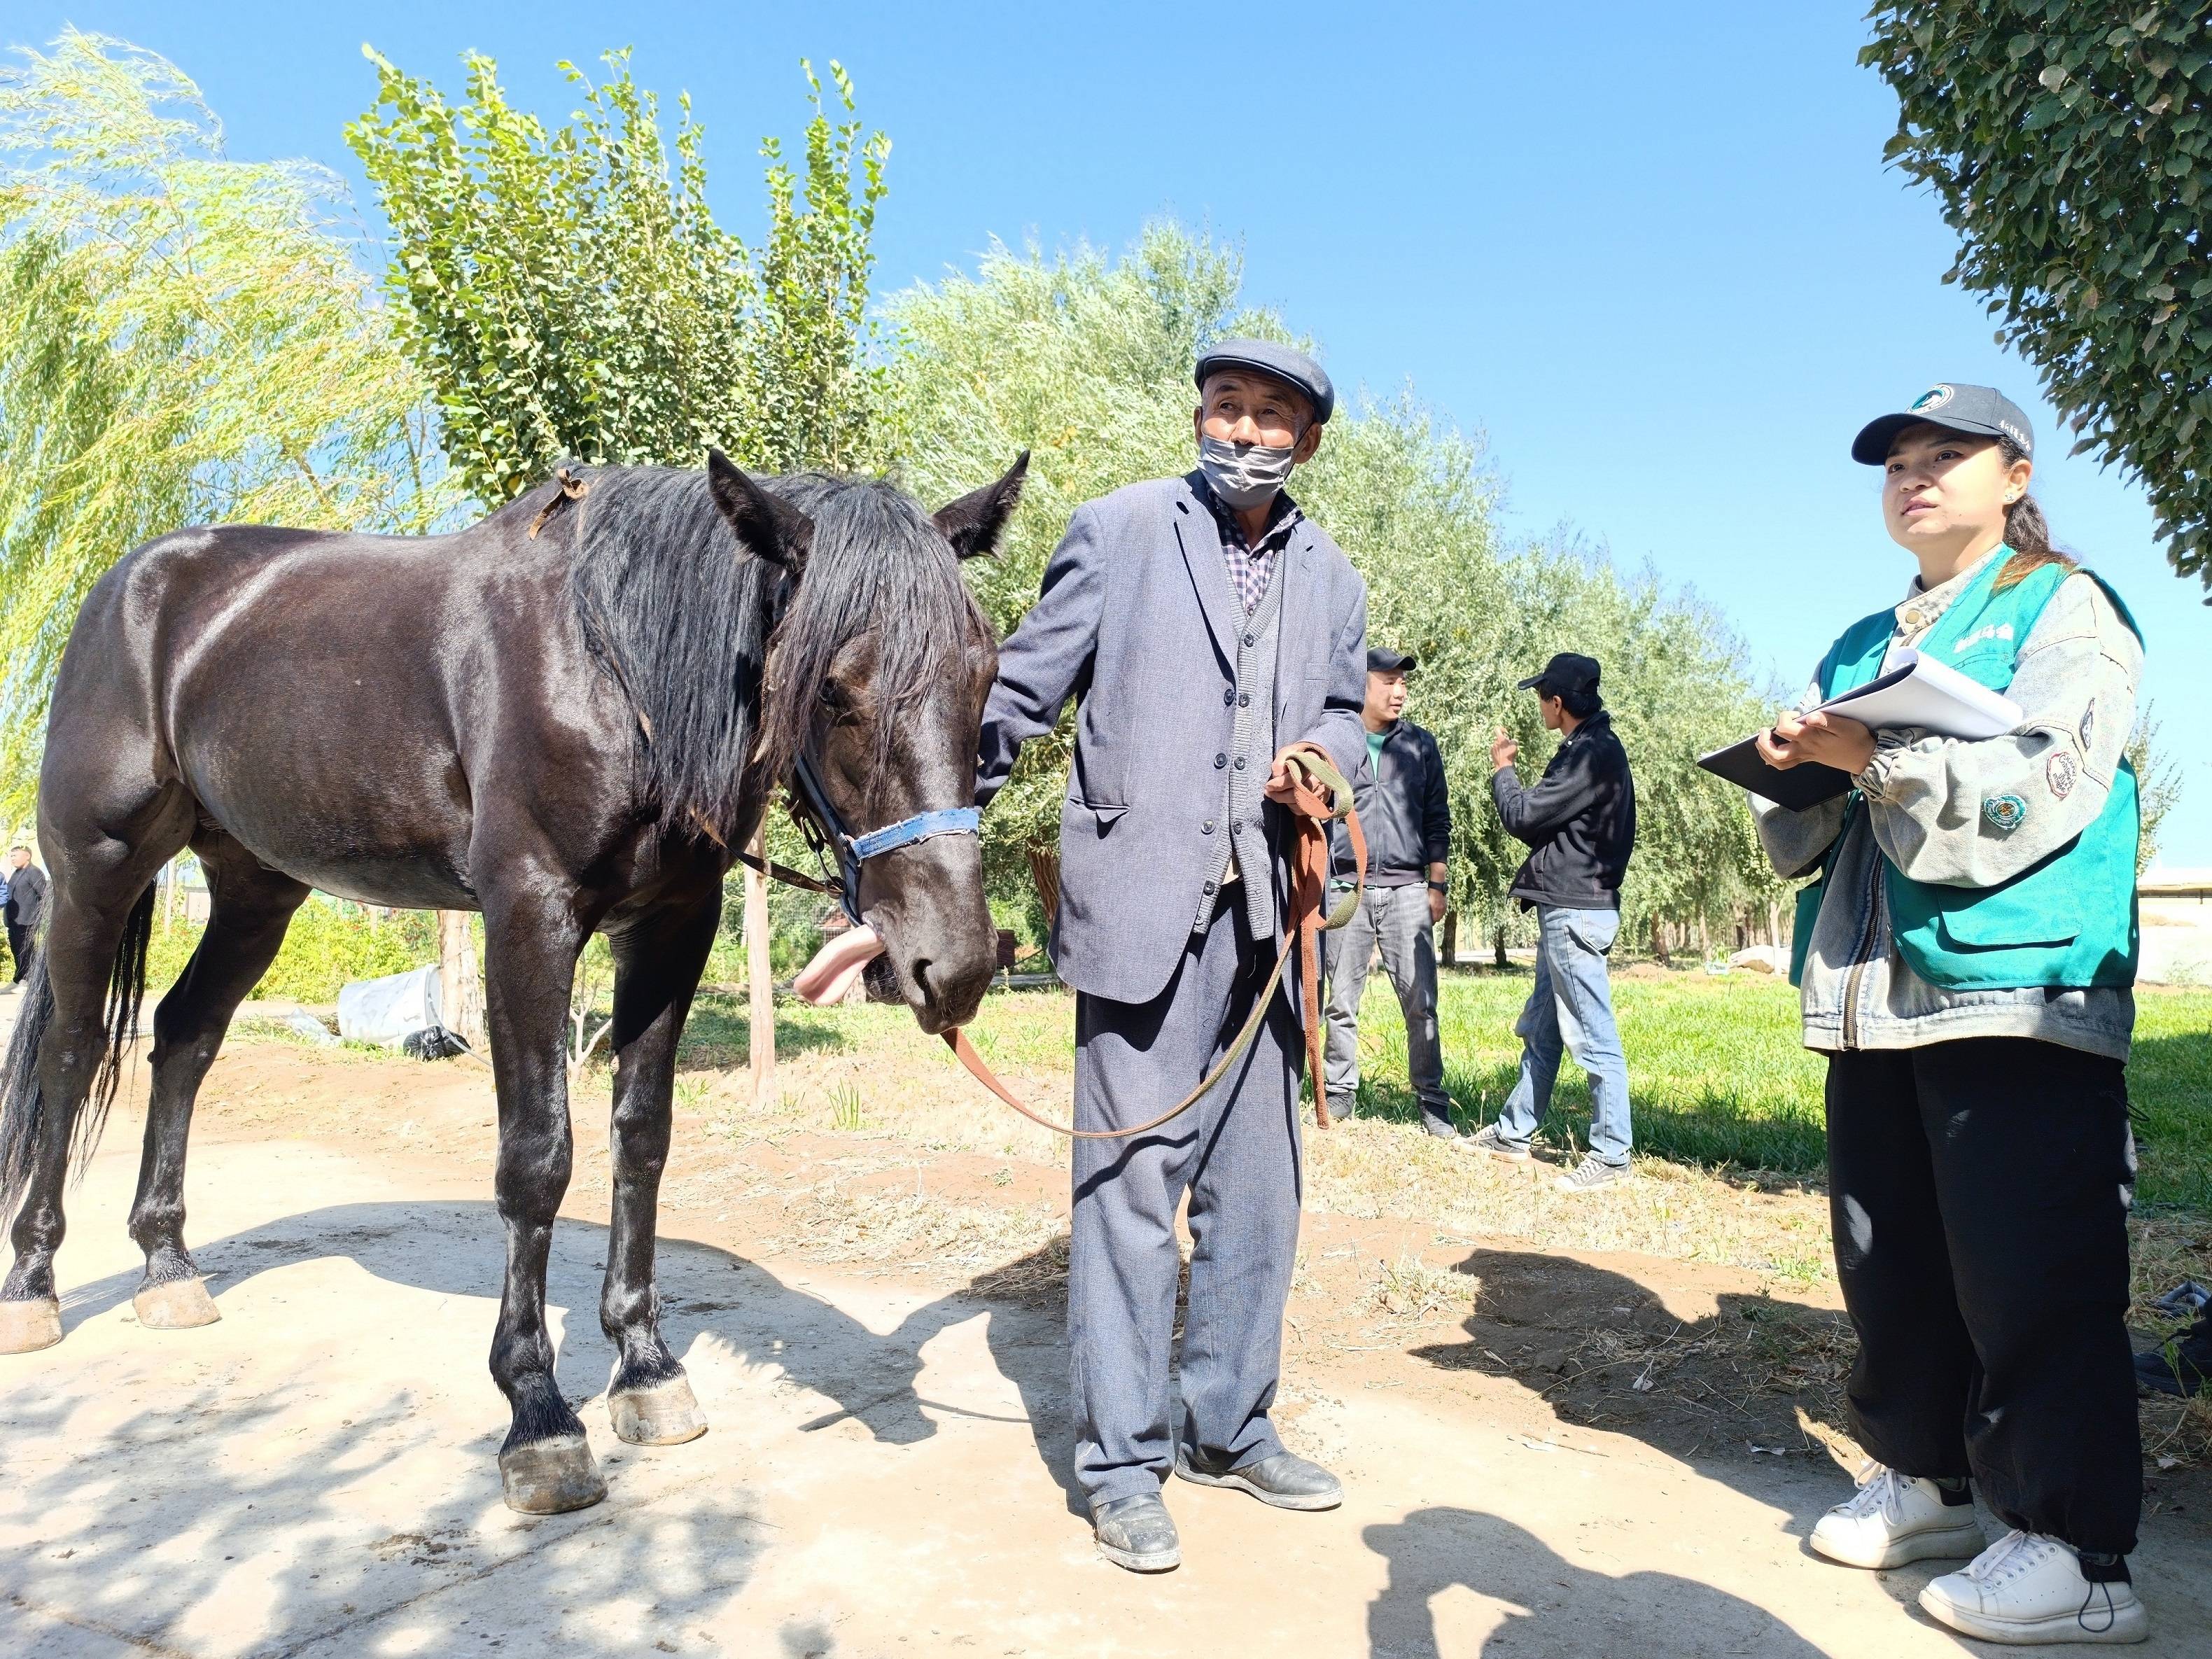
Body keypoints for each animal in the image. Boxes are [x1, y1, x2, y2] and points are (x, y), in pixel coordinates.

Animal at [0, 455, 1026, 1522]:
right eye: (834, 690)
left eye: (985, 672)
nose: (955, 965)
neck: (611, 662)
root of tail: (134, 583)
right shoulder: (528, 919)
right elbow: (536, 1158)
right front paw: (539, 1414)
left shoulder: (673, 924)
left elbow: (641, 1139)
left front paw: (646, 1369)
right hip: (97, 870)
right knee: (74, 1050)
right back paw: (34, 1283)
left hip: (254, 884)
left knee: (185, 1035)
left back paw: (167, 1266)